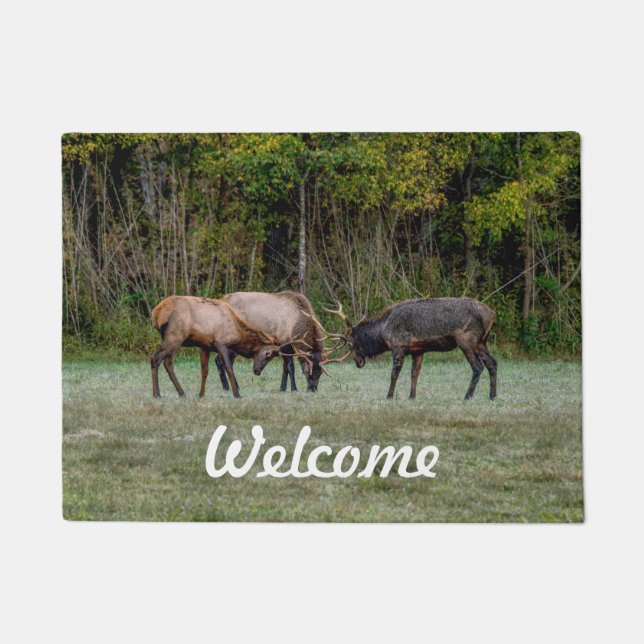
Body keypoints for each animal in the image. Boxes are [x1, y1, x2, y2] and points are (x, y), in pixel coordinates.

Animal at [150, 296, 284, 398]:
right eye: (267, 354)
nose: (257, 371)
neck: (238, 335)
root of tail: (156, 313)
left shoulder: (205, 346)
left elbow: (204, 371)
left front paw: (201, 394)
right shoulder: (221, 343)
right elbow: (228, 367)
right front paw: (237, 394)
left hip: (173, 339)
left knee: (168, 362)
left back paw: (181, 392)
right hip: (175, 336)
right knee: (155, 358)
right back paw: (157, 394)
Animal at [213, 291, 348, 393]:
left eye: (320, 373)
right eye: (307, 372)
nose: (313, 389)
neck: (295, 325)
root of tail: (223, 299)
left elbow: (284, 367)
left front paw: (282, 388)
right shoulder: (284, 342)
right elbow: (290, 367)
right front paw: (294, 388)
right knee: (220, 360)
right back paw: (227, 387)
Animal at [325, 297, 497, 400]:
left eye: (350, 344)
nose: (358, 362)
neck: (383, 331)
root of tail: (491, 314)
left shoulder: (398, 347)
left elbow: (394, 374)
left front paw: (389, 396)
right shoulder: (418, 350)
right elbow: (414, 373)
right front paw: (411, 396)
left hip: (467, 340)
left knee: (478, 366)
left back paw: (467, 396)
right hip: (481, 342)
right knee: (492, 363)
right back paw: (492, 396)